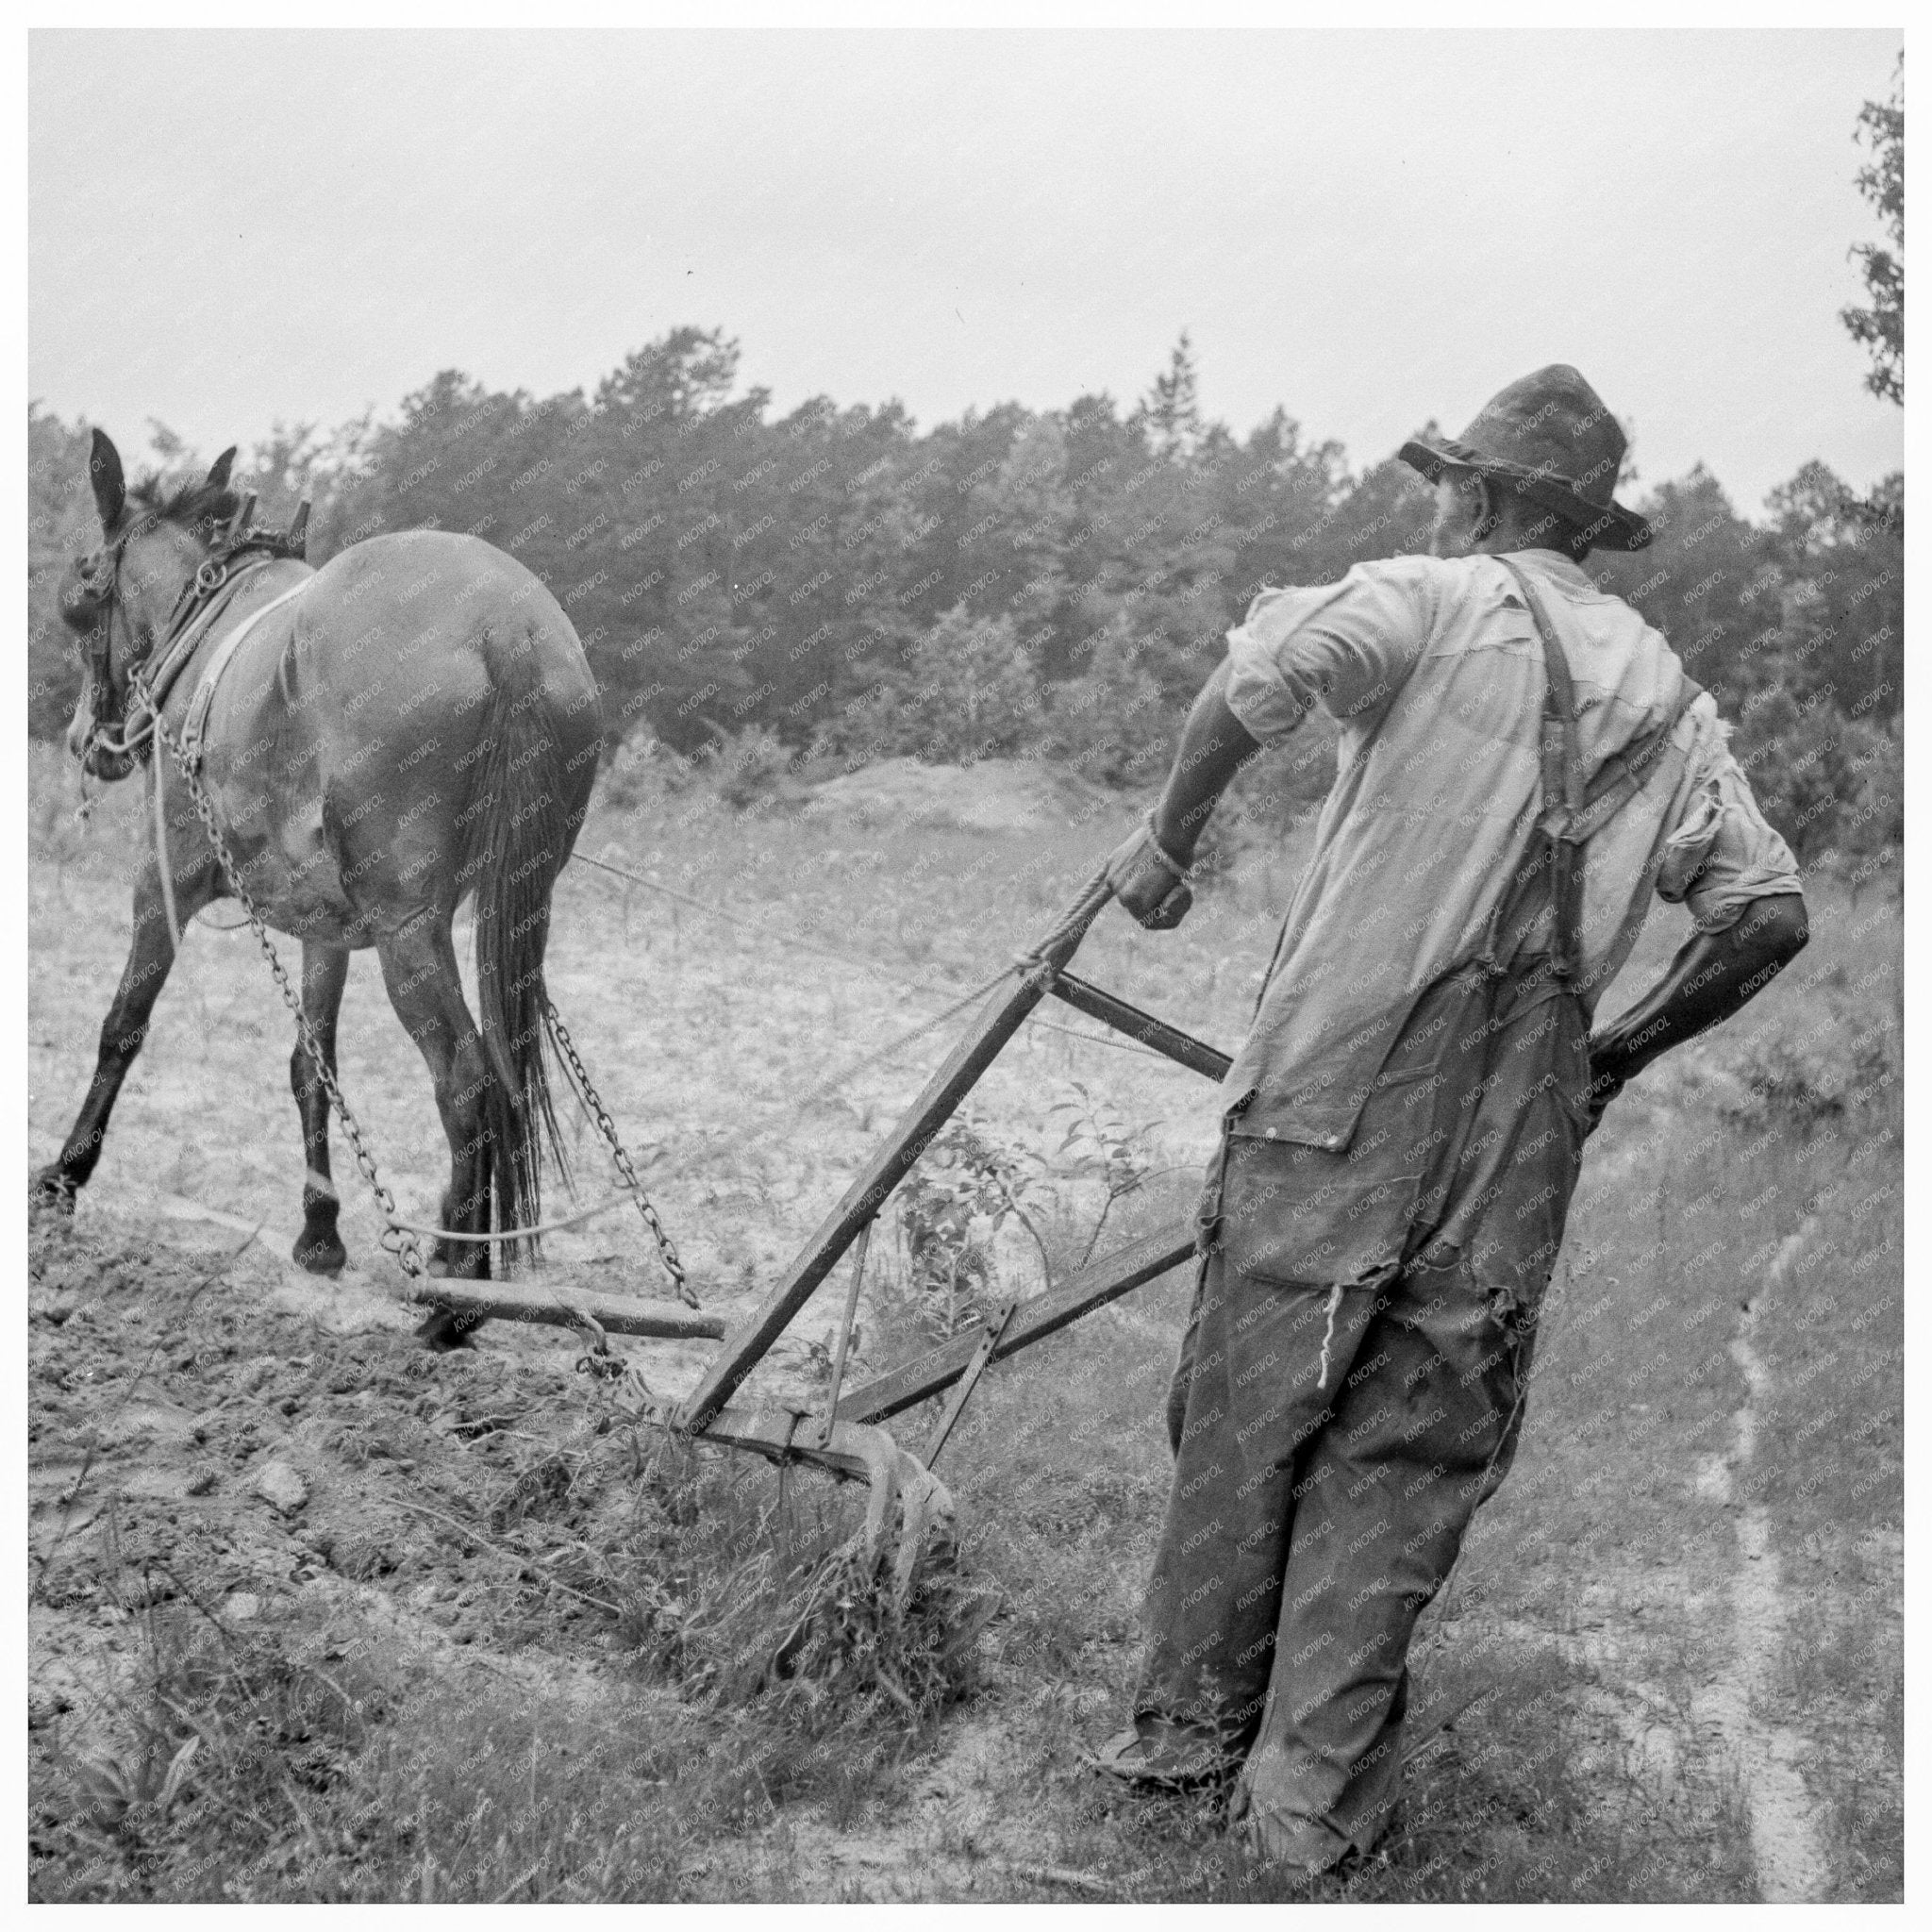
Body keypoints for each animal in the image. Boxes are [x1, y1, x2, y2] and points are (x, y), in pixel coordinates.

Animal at [32, 434, 602, 1344]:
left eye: (82, 594)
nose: (90, 737)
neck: (203, 629)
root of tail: (508, 627)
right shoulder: (322, 928)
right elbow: (313, 1065)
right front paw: (319, 1233)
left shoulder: (164, 883)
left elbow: (123, 1025)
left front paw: (64, 1176)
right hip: (514, 906)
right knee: (501, 1075)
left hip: (410, 930)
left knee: (467, 1078)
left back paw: (457, 1296)